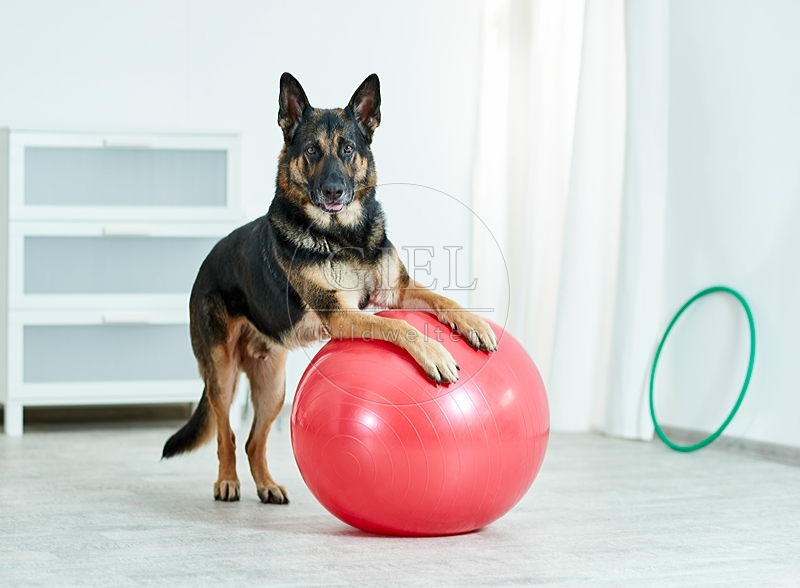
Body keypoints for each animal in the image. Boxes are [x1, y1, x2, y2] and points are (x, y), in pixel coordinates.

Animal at [162, 74, 494, 506]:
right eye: (312, 151)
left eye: (347, 149)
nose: (334, 191)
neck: (344, 235)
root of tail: (205, 264)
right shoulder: (341, 314)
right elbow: (399, 326)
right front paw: (435, 354)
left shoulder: (396, 291)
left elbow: (444, 299)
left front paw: (475, 325)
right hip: (222, 374)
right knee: (226, 434)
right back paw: (227, 481)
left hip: (273, 389)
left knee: (253, 441)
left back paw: (267, 485)